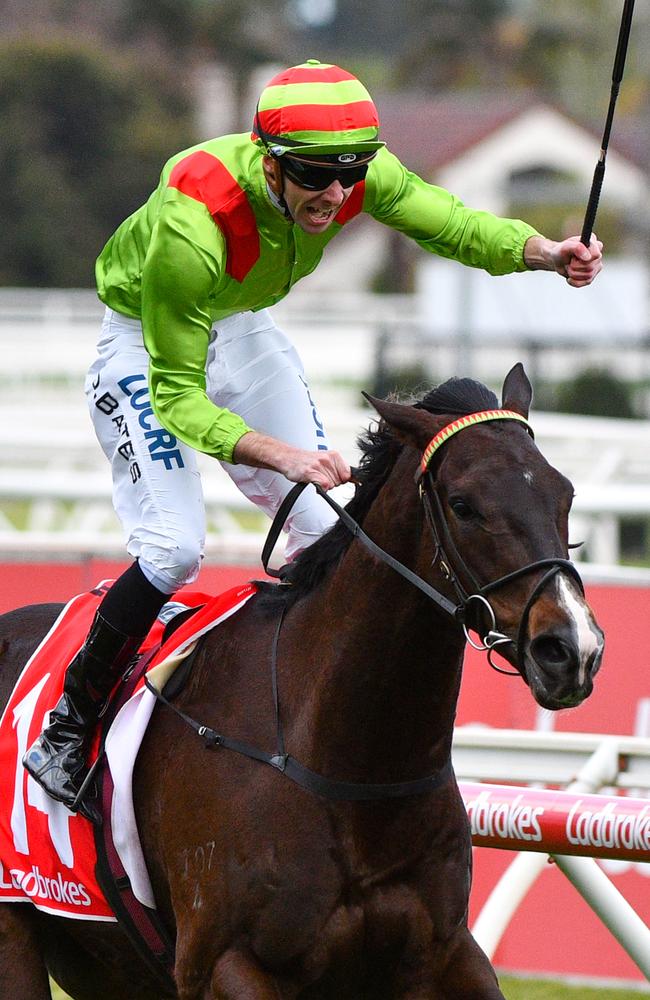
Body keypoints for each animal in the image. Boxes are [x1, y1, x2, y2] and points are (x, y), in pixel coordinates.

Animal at [0, 366, 604, 1000]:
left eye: (565, 495)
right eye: (463, 505)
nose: (571, 649)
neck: (347, 765)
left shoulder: (445, 954)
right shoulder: (224, 964)